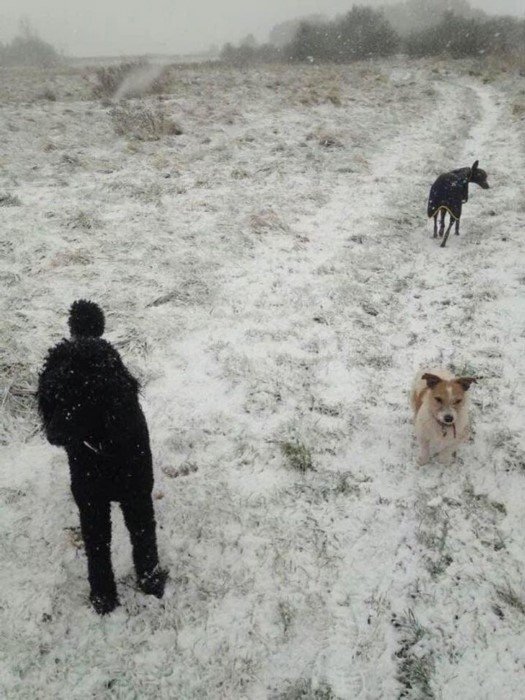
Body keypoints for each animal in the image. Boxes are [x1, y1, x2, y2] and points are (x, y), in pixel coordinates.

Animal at [38, 300, 166, 612]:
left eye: (82, 398)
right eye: (51, 397)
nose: (52, 434)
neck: (105, 451)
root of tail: (85, 337)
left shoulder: (137, 496)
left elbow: (144, 539)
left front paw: (151, 583)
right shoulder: (92, 502)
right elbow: (97, 550)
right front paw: (103, 596)